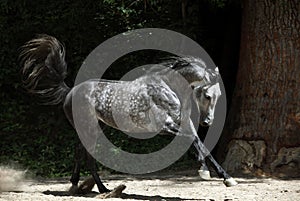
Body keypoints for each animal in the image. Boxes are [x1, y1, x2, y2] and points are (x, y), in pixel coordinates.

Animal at [18, 34, 238, 195]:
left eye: (218, 95)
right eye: (207, 95)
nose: (208, 121)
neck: (168, 87)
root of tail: (70, 91)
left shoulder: (182, 123)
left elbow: (201, 144)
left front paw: (227, 178)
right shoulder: (164, 127)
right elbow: (192, 141)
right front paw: (204, 171)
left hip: (96, 127)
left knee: (82, 153)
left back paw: (94, 188)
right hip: (89, 128)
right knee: (85, 155)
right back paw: (93, 188)